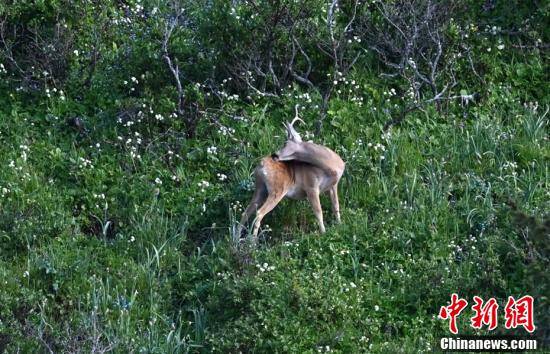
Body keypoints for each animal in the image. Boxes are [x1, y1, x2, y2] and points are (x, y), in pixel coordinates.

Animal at [237, 108, 344, 241]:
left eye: (285, 143)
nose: (274, 155)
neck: (330, 166)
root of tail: (261, 165)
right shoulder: (311, 185)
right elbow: (318, 211)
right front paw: (324, 233)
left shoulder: (333, 185)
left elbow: (336, 206)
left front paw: (340, 225)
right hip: (277, 189)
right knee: (259, 213)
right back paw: (252, 241)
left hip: (260, 189)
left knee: (246, 211)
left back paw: (235, 239)